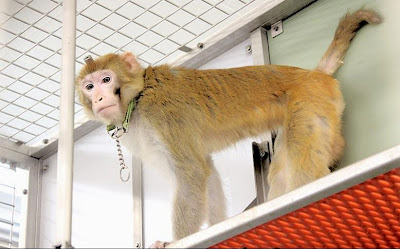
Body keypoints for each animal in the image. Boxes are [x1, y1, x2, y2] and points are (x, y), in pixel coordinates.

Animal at [74, 8, 382, 246]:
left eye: (105, 80)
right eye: (89, 86)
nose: (98, 98)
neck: (137, 98)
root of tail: (314, 75)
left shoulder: (162, 116)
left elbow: (191, 174)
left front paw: (174, 241)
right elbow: (206, 172)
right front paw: (214, 227)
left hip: (309, 102)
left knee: (303, 163)